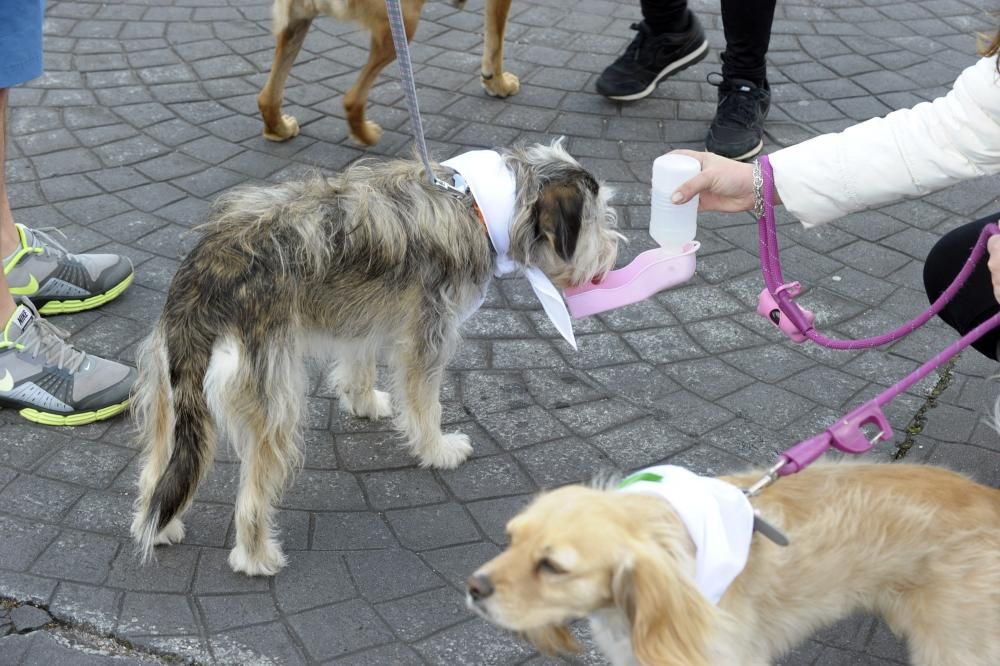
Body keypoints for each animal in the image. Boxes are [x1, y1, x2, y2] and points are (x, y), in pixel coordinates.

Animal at [258, 0, 516, 144]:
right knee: (352, 99)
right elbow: (496, 37)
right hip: (401, 26)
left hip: (295, 22)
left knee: (267, 97)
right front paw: (498, 83)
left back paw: (279, 130)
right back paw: (366, 136)